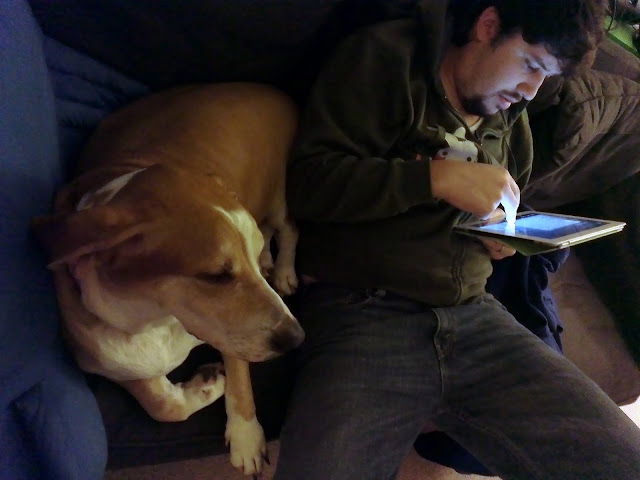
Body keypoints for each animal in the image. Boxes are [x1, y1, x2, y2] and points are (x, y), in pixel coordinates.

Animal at [32, 83, 304, 477]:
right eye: (215, 275)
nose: (296, 338)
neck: (155, 318)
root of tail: (271, 89)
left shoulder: (228, 332)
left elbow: (239, 378)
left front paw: (245, 436)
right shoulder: (112, 364)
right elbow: (163, 407)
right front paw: (205, 386)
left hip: (279, 196)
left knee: (289, 228)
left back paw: (281, 269)